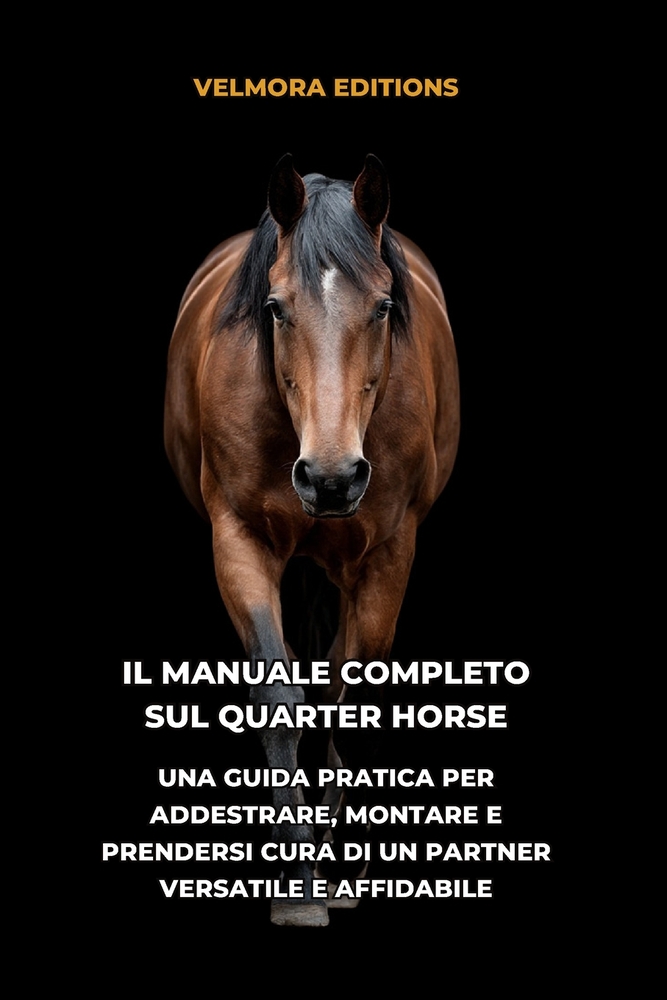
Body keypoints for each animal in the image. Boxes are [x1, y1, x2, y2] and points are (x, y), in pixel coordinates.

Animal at [164, 154, 460, 925]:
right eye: (275, 308)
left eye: (382, 308)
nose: (331, 478)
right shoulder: (238, 542)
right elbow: (278, 694)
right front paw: (296, 883)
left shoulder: (389, 553)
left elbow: (351, 701)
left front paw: (342, 867)